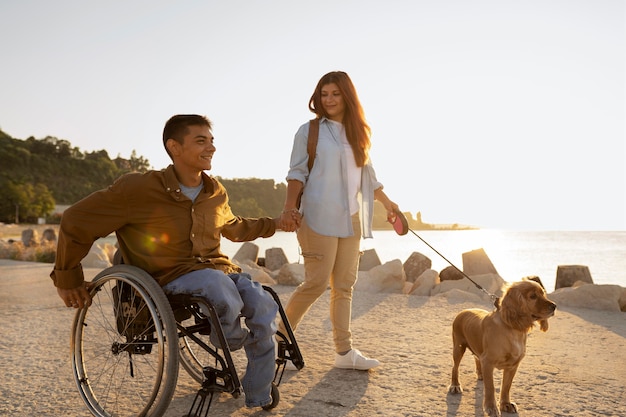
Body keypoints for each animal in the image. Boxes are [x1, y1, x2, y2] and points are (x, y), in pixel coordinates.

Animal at [446, 278, 552, 414]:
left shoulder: (513, 365)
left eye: (543, 293)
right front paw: (491, 408)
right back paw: (455, 385)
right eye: (532, 296)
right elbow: (490, 387)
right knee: (455, 367)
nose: (554, 306)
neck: (513, 330)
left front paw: (506, 404)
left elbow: (506, 386)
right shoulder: (488, 362)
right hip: (458, 347)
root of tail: (464, 310)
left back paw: (480, 374)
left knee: (476, 358)